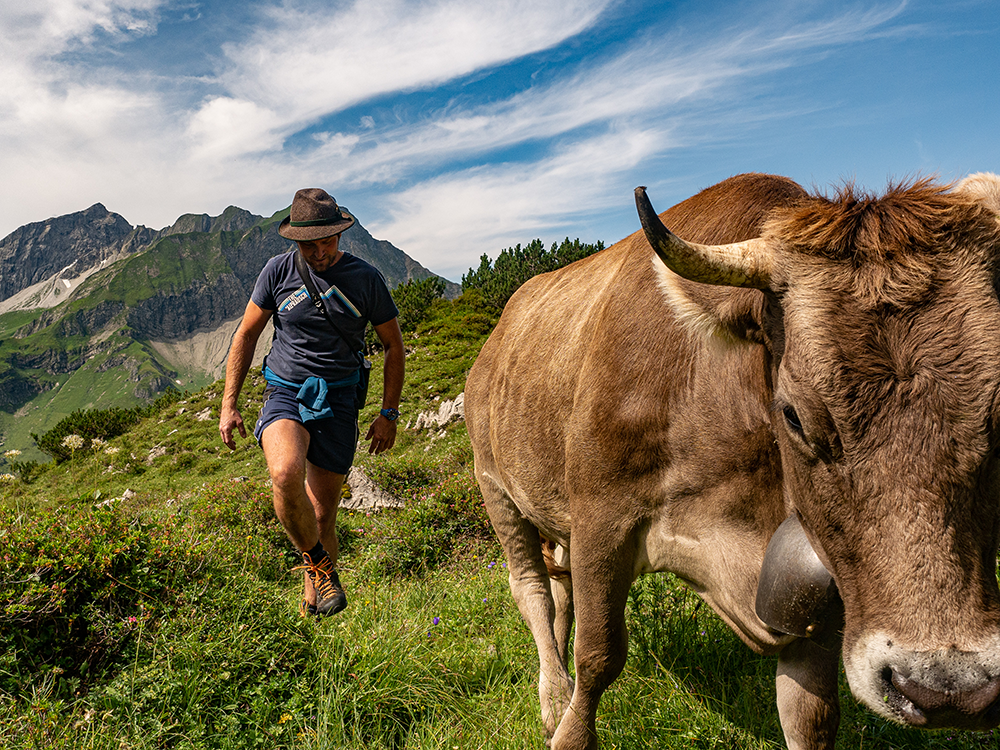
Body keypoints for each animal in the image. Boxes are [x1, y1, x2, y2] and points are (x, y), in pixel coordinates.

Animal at [464, 173, 1000, 748]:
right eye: (793, 415)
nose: (944, 688)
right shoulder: (599, 519)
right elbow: (599, 654)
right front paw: (568, 727)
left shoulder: (816, 583)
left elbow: (809, 713)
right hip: (495, 487)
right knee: (534, 592)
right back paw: (553, 696)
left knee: (559, 593)